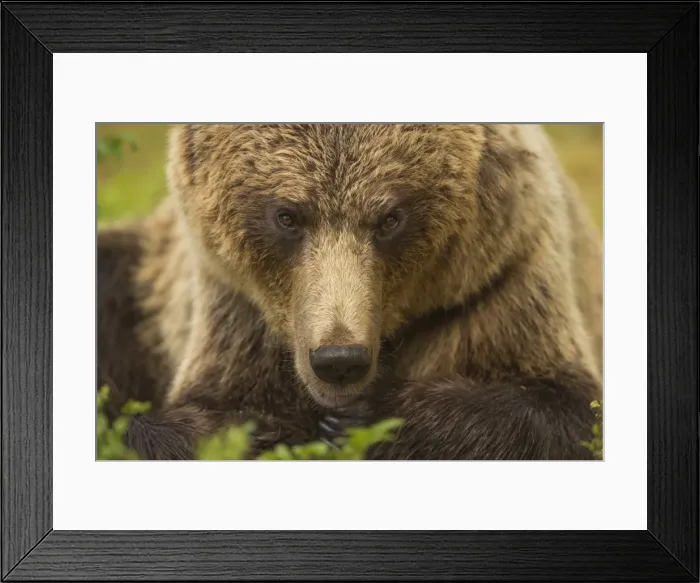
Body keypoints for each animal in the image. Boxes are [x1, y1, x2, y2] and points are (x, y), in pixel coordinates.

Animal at [97, 123, 603, 460]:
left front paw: (366, 417)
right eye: (287, 215)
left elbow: (566, 408)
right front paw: (258, 428)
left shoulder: (501, 277)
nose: (338, 360)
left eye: (390, 217)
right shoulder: (234, 306)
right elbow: (214, 410)